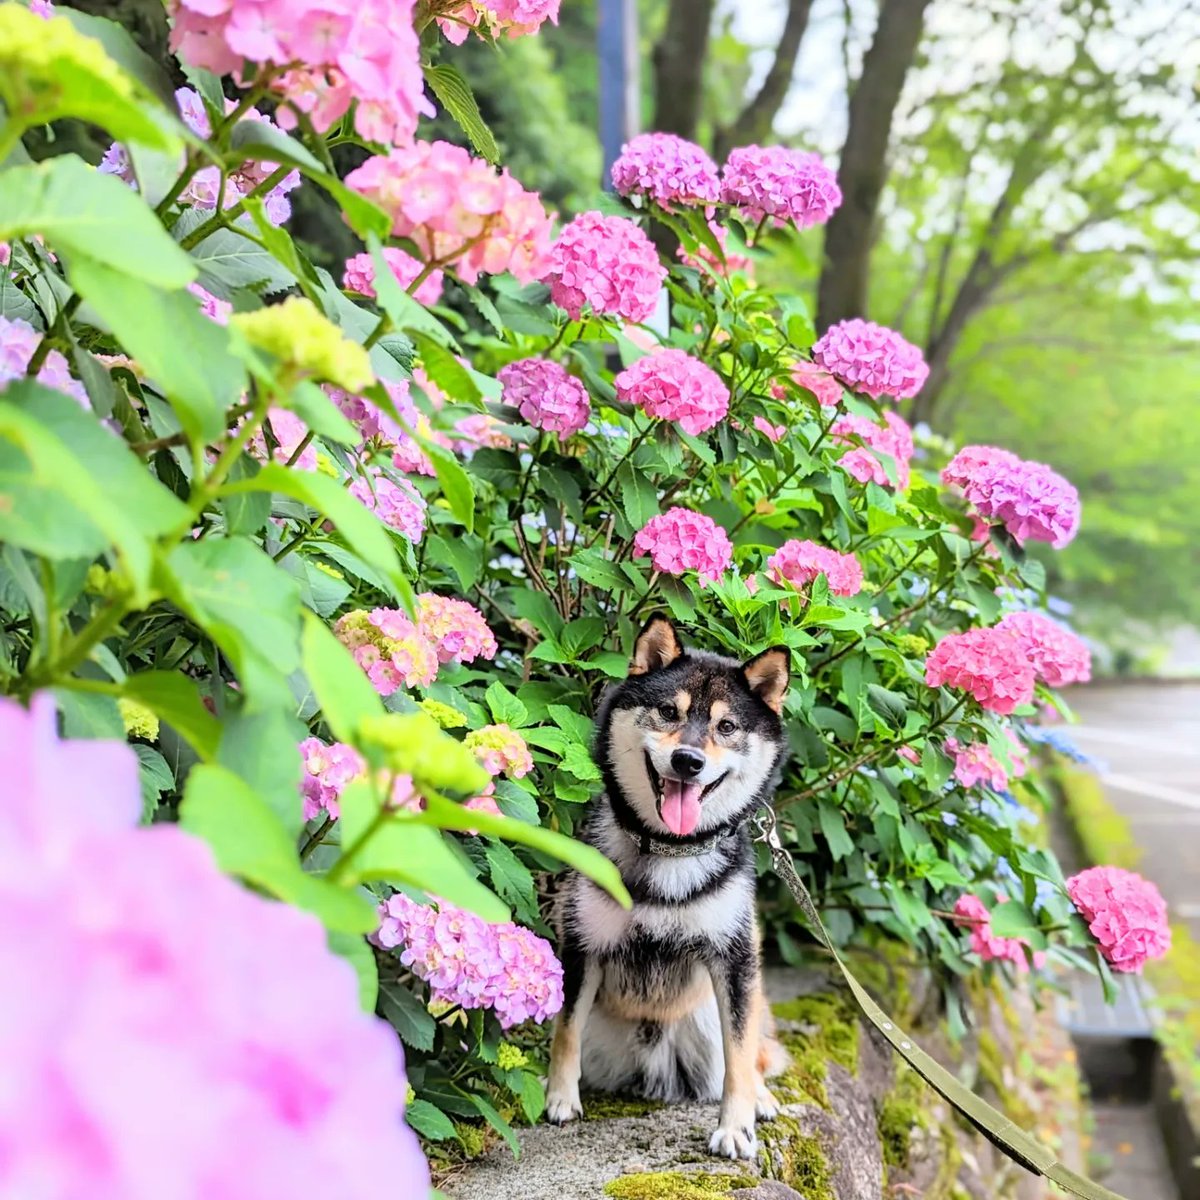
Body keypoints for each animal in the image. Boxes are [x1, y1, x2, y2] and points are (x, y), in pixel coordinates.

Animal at [547, 614, 792, 1156]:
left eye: (726, 726)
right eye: (666, 711)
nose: (687, 761)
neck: (669, 851)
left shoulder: (734, 958)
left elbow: (740, 1055)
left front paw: (735, 1127)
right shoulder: (582, 945)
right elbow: (566, 1030)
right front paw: (559, 1099)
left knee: (752, 1053)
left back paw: (762, 1100)